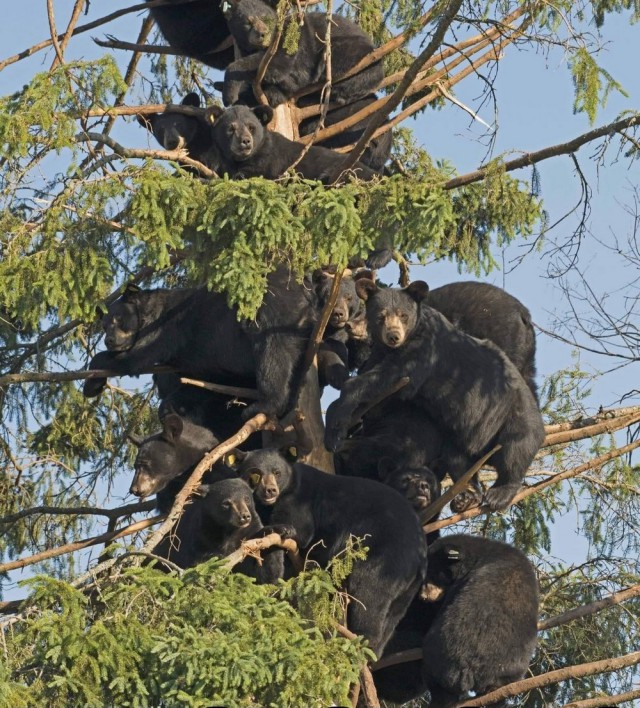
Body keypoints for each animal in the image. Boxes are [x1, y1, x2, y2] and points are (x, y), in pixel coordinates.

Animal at [221, 0, 380, 108]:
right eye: (247, 22)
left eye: (266, 18)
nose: (262, 33)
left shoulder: (292, 40)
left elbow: (279, 63)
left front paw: (229, 94)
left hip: (353, 52)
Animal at [225, 448, 424, 660]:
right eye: (256, 474)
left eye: (277, 472)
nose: (270, 490)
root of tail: (420, 553)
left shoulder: (299, 500)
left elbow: (300, 530)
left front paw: (280, 529)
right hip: (408, 586)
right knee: (393, 615)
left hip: (385, 556)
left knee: (370, 595)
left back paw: (361, 640)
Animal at [324, 280, 544, 512]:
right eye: (379, 314)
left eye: (403, 315)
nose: (393, 336)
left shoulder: (423, 352)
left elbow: (389, 379)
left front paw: (337, 426)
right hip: (460, 437)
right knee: (458, 461)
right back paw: (468, 495)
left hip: (511, 414)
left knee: (516, 450)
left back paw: (499, 493)